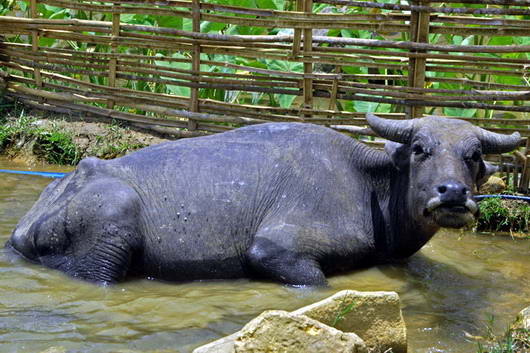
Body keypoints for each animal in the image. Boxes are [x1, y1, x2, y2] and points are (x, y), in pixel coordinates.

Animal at [7, 114, 520, 284]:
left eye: (474, 156)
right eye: (420, 149)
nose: (452, 192)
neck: (368, 187)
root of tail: (27, 225)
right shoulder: (275, 249)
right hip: (111, 232)